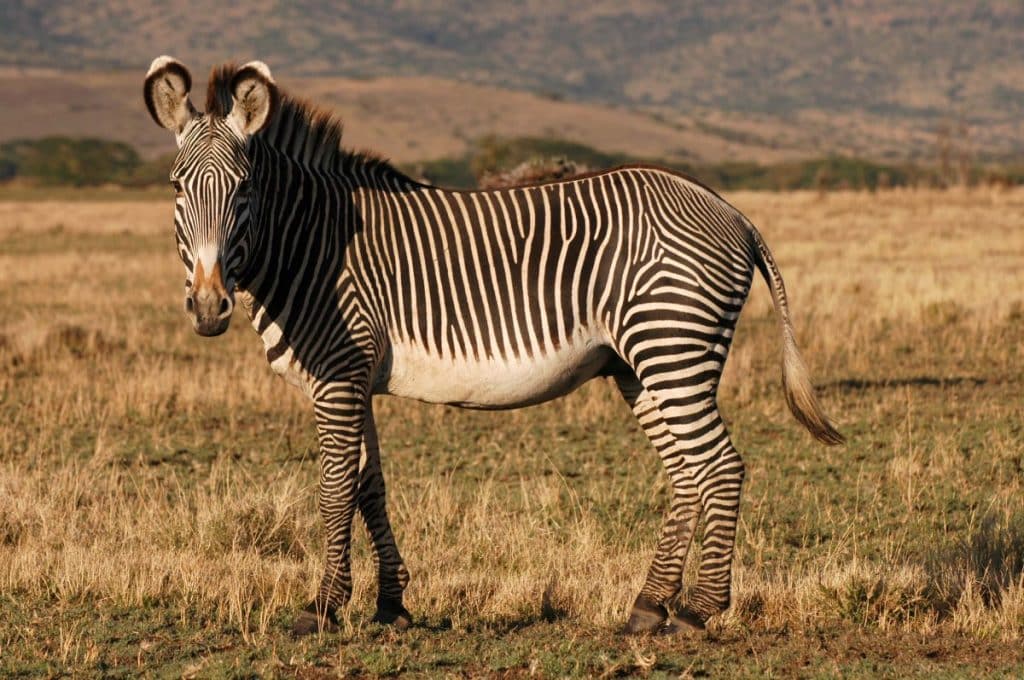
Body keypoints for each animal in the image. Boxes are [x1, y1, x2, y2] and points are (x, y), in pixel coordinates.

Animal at [143, 56, 843, 637]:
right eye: (177, 187)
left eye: (243, 190)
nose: (208, 308)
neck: (309, 243)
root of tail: (731, 211)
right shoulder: (357, 378)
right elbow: (371, 486)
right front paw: (391, 604)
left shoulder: (337, 375)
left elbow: (335, 489)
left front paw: (321, 609)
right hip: (640, 365)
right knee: (688, 473)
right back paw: (648, 608)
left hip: (671, 347)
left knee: (720, 466)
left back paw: (698, 610)